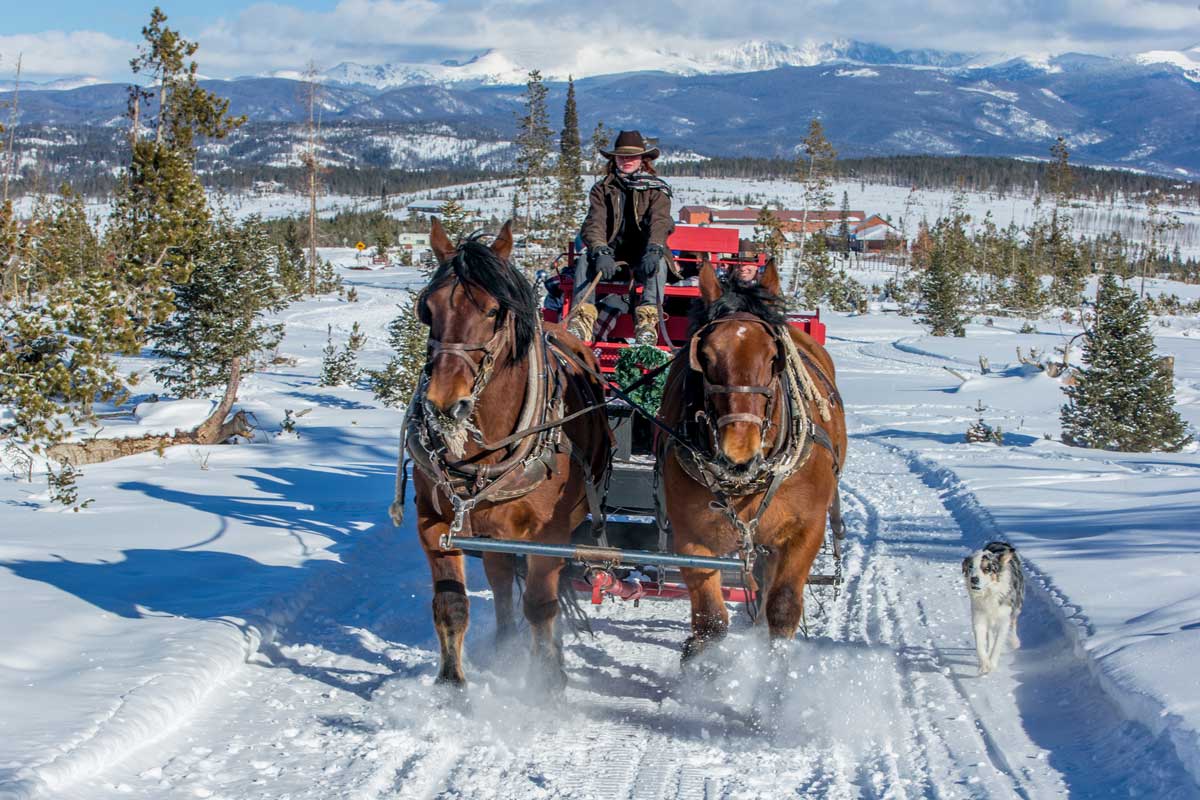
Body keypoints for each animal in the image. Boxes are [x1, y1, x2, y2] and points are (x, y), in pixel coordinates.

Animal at [398, 219, 609, 690]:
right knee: (498, 581)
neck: (481, 457)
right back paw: (504, 645)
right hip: (489, 530)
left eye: (494, 311)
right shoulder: (433, 523)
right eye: (427, 309)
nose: (445, 405)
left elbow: (540, 606)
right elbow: (451, 606)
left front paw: (547, 682)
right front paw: (451, 687)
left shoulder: (550, 535)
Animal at [657, 260, 844, 662]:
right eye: (705, 356)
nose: (739, 451)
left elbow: (783, 608)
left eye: (774, 358)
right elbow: (710, 620)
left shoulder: (805, 530)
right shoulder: (691, 536)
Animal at [960, 544, 1027, 676]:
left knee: (1013, 624)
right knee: (990, 634)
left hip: (1017, 607)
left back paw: (1015, 641)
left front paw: (992, 663)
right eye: (970, 567)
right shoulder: (979, 618)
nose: (974, 579)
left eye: (987, 569)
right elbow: (980, 644)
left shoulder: (1004, 619)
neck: (989, 594)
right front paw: (985, 665)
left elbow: (998, 644)